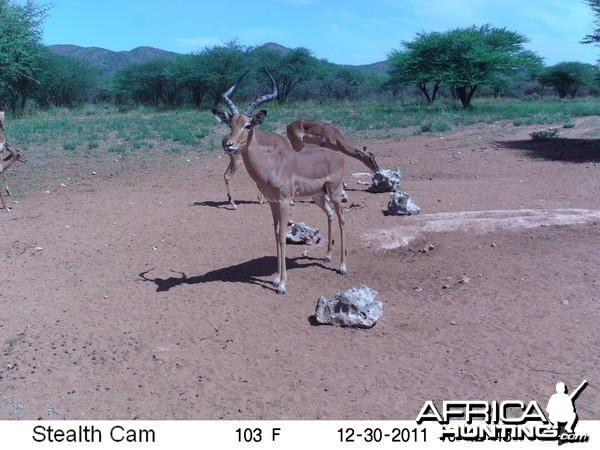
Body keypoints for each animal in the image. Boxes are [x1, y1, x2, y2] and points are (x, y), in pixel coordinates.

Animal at [214, 69, 346, 296]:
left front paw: (283, 284)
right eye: (230, 123)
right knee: (329, 214)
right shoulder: (272, 202)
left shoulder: (284, 201)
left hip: (335, 192)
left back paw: (342, 267)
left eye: (247, 125)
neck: (270, 166)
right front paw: (276, 278)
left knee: (342, 220)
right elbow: (276, 234)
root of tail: (337, 156)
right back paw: (327, 256)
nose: (229, 145)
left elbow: (284, 235)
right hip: (318, 195)